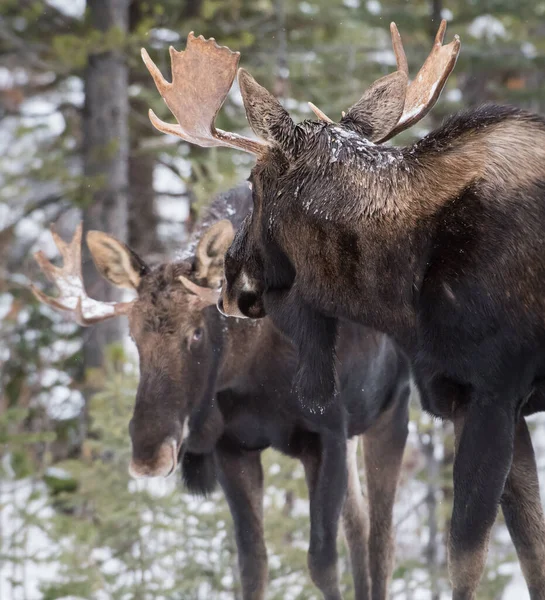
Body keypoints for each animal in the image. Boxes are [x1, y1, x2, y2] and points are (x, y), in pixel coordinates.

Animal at [31, 188, 410, 600]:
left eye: (196, 333)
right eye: (133, 335)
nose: (149, 454)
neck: (253, 374)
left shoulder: (328, 436)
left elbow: (322, 562)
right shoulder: (233, 448)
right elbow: (253, 564)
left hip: (394, 411)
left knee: (382, 543)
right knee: (360, 528)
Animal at [141, 19, 545, 600]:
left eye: (254, 184)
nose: (229, 287)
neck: (400, 289)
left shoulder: (491, 393)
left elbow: (465, 560)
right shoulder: (494, 403)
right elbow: (532, 554)